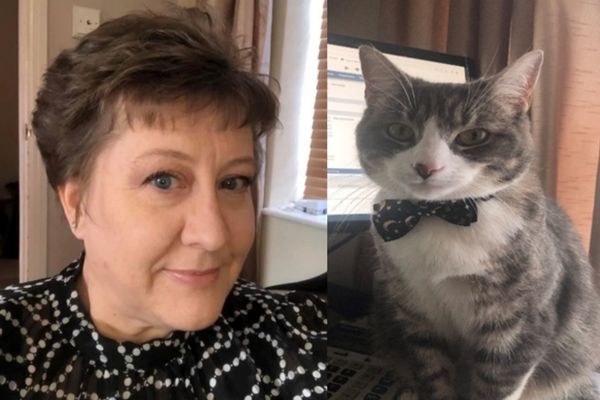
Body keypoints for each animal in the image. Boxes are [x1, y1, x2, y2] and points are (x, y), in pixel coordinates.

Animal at [356, 44, 600, 400]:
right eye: (399, 131)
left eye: (472, 135)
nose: (427, 166)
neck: (443, 217)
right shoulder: (416, 316)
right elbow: (432, 372)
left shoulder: (521, 324)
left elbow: (499, 381)